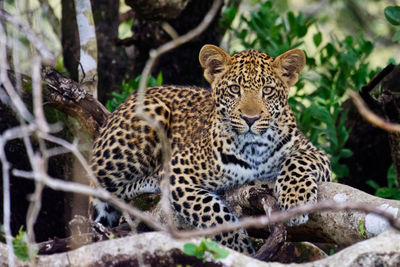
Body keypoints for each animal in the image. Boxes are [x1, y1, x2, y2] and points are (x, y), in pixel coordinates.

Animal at [90, 45, 332, 255]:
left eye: (268, 90)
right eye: (235, 89)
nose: (250, 119)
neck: (254, 147)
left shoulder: (315, 153)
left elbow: (297, 161)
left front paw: (296, 200)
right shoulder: (178, 169)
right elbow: (210, 212)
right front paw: (241, 248)